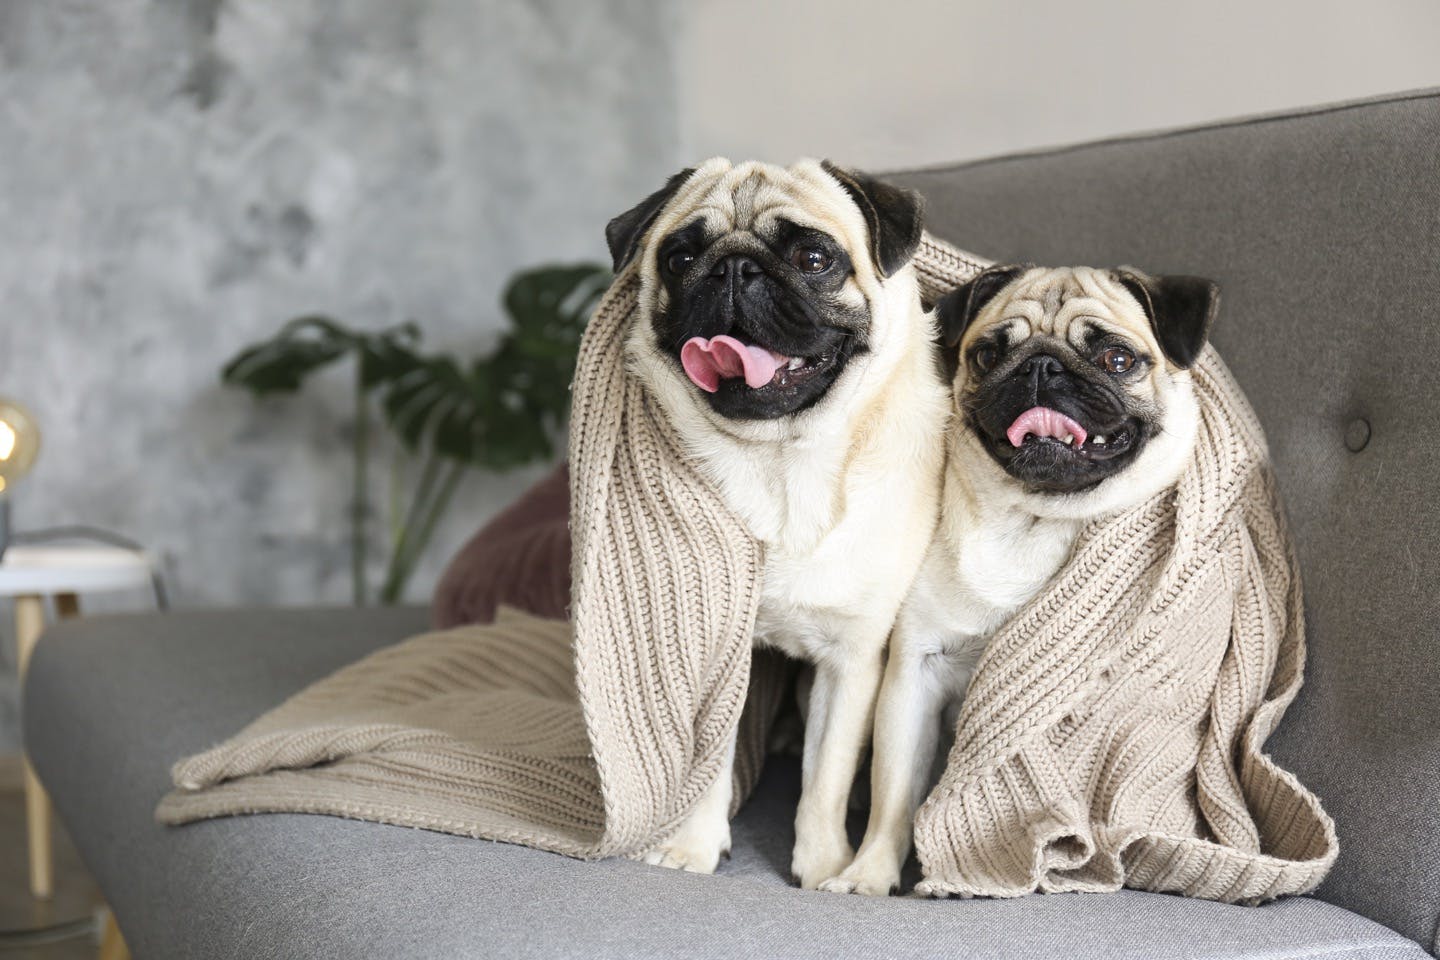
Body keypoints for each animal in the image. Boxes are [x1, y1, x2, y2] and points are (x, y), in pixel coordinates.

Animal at [610, 157, 956, 886]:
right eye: (681, 257)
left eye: (814, 258)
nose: (734, 269)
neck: (781, 461)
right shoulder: (722, 654)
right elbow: (709, 764)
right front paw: (691, 847)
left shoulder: (852, 660)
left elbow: (823, 777)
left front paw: (823, 863)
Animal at [829, 260, 1221, 892]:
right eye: (989, 355)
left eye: (1117, 359)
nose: (1041, 367)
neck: (1034, 520)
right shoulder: (914, 676)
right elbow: (894, 793)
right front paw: (868, 873)